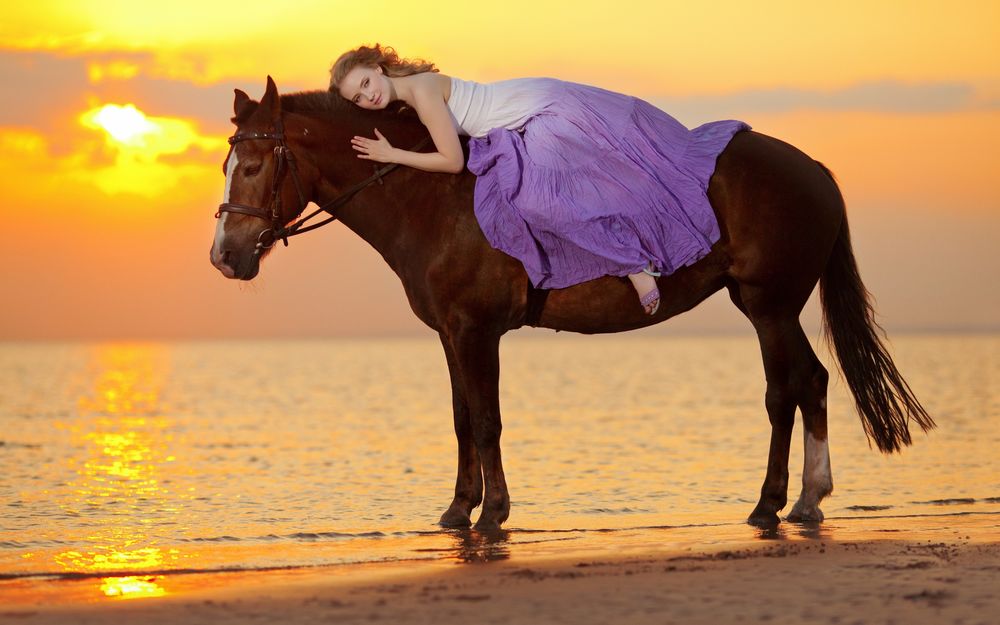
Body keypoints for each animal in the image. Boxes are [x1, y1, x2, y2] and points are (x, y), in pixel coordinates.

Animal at [210, 77, 934, 531]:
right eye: (227, 163)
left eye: (254, 164)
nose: (224, 255)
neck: (433, 195)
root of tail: (816, 170)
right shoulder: (450, 333)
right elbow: (462, 421)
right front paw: (458, 510)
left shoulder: (477, 331)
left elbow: (488, 421)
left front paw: (493, 513)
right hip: (768, 308)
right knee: (804, 384)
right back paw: (796, 501)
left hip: (769, 307)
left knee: (790, 389)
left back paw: (781, 501)